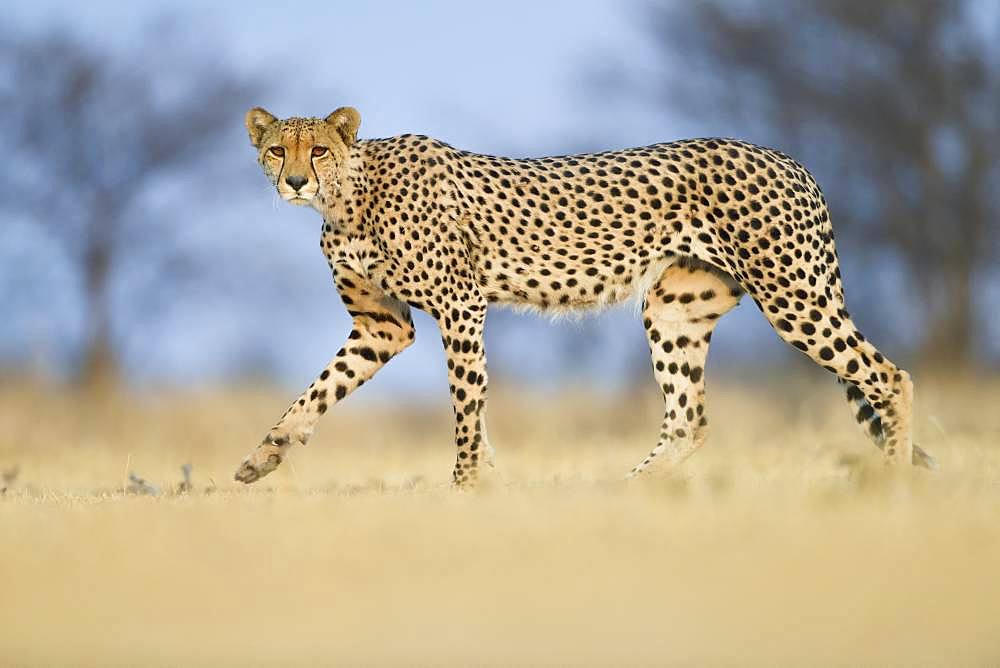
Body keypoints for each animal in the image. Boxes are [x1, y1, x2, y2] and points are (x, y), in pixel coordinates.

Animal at [230, 108, 932, 486]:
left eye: (319, 150)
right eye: (277, 149)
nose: (295, 181)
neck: (348, 197)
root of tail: (788, 158)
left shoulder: (461, 306)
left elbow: (466, 407)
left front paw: (465, 488)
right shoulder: (383, 326)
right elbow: (319, 390)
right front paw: (266, 453)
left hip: (795, 295)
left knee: (889, 377)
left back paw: (893, 479)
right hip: (674, 307)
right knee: (688, 419)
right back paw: (624, 492)